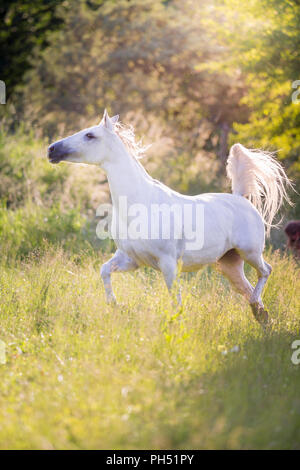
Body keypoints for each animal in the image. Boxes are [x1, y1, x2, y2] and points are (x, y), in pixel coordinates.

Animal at [48, 109, 292, 324]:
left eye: (90, 135)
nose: (51, 150)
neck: (140, 205)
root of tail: (241, 199)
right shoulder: (130, 259)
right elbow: (104, 270)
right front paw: (114, 304)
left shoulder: (168, 264)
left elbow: (176, 301)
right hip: (228, 264)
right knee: (248, 289)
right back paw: (261, 316)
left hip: (250, 252)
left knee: (265, 272)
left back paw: (259, 312)